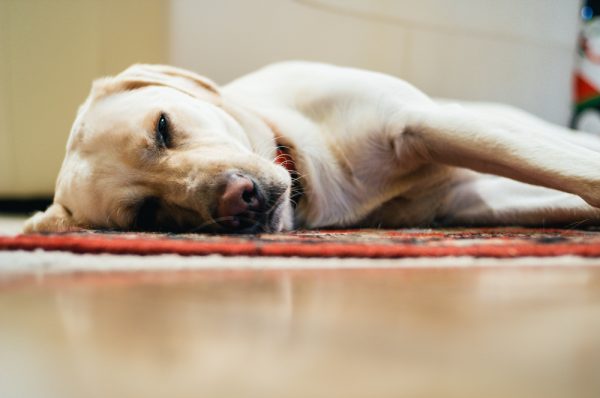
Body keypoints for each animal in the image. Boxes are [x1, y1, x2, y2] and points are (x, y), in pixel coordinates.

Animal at [23, 62, 600, 233]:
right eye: (145, 213)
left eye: (162, 127)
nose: (240, 199)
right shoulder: (473, 204)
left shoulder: (419, 122)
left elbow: (576, 172)